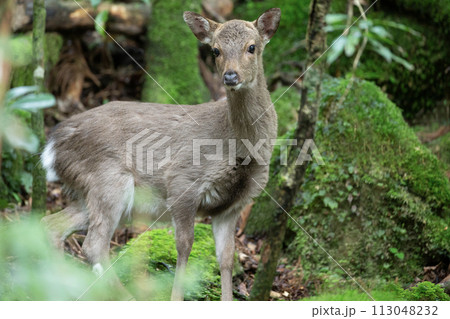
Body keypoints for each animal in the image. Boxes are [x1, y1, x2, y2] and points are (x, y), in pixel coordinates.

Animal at [42, 8, 282, 302]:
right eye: (215, 50)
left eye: (252, 47)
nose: (230, 76)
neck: (236, 146)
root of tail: (53, 144)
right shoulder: (182, 181)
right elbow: (185, 246)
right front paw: (176, 298)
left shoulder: (232, 204)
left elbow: (226, 257)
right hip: (108, 179)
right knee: (93, 245)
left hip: (87, 190)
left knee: (51, 224)